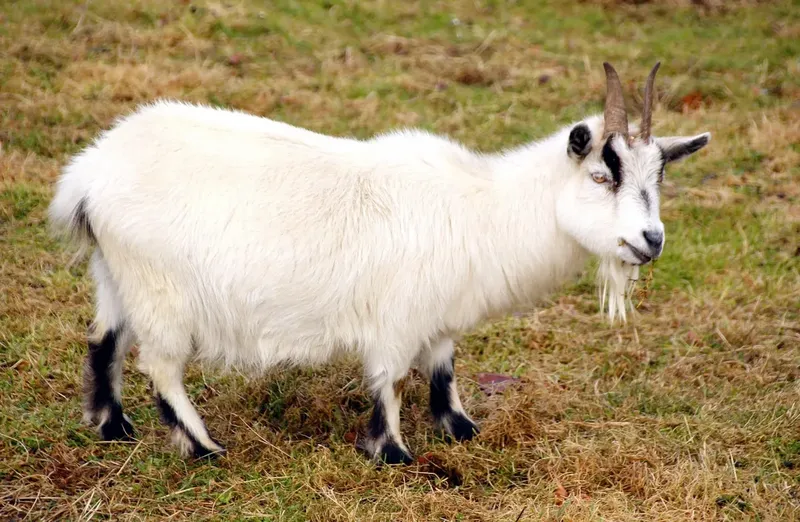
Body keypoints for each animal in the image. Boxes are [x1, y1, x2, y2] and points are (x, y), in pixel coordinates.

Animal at [49, 62, 709, 464]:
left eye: (658, 179)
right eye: (601, 175)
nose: (651, 240)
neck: (481, 209)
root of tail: (90, 174)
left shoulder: (440, 319)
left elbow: (443, 371)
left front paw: (461, 429)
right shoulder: (396, 317)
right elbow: (389, 380)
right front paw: (391, 451)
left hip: (116, 276)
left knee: (103, 341)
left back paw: (111, 426)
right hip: (161, 291)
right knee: (160, 365)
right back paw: (203, 445)